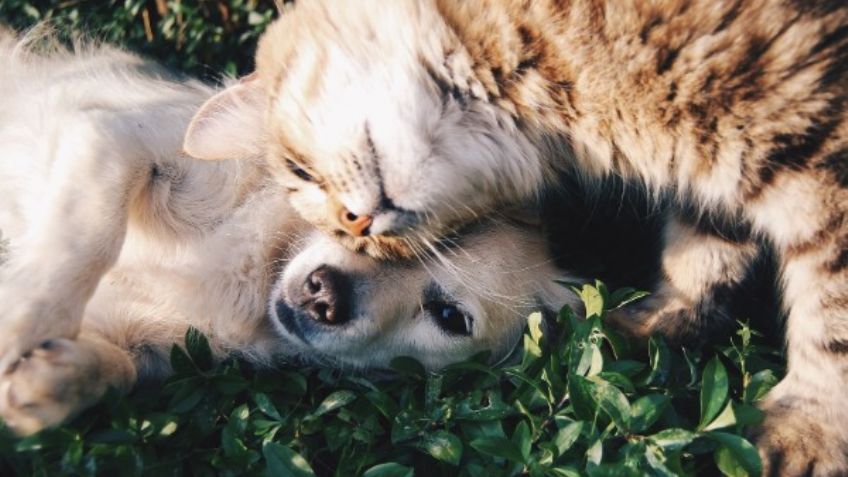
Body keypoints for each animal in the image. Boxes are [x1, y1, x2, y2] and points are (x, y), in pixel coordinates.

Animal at [187, 1, 848, 474]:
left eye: (299, 172)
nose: (357, 228)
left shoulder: (818, 151)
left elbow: (831, 315)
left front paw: (809, 429)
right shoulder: (715, 176)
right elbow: (704, 252)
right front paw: (653, 325)